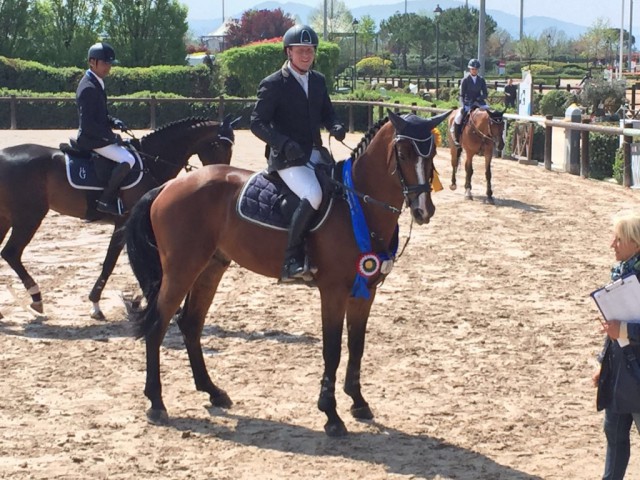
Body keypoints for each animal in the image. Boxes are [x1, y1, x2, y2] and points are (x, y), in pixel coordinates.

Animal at [0, 116, 238, 318]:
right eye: (220, 145)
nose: (222, 174)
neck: (152, 161)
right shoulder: (125, 224)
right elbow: (111, 262)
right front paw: (97, 304)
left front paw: (139, 299)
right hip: (29, 217)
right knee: (11, 253)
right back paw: (36, 298)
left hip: (9, 217)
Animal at [122, 109, 448, 436]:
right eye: (403, 153)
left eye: (431, 153)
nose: (424, 211)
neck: (358, 206)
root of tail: (168, 186)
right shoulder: (333, 291)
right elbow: (332, 349)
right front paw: (331, 415)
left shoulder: (365, 291)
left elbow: (357, 345)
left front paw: (358, 402)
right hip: (181, 269)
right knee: (158, 325)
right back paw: (157, 403)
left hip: (210, 267)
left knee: (190, 324)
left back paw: (213, 391)